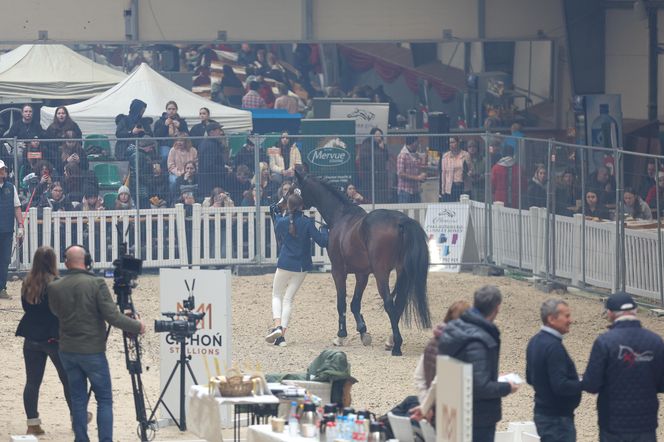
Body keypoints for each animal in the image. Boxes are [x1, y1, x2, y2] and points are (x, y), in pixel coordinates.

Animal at [294, 170, 430, 356]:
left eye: (294, 188)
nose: (278, 205)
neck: (341, 217)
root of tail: (401, 221)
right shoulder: (362, 274)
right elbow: (355, 303)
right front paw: (363, 331)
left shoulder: (338, 272)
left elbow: (342, 303)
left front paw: (341, 335)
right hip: (402, 272)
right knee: (399, 304)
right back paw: (391, 341)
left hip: (381, 274)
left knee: (389, 304)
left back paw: (396, 346)